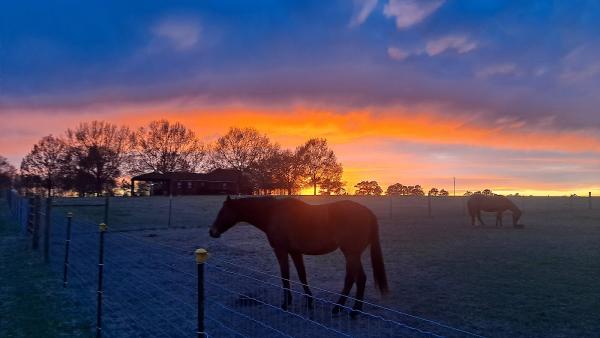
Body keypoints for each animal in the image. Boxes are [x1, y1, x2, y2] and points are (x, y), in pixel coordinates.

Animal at [210, 195, 390, 316]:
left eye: (223, 212)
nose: (212, 232)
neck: (272, 213)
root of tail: (368, 213)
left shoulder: (281, 250)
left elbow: (285, 276)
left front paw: (285, 303)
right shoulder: (295, 252)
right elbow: (302, 275)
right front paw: (309, 301)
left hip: (351, 253)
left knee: (357, 279)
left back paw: (347, 310)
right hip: (352, 254)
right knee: (354, 278)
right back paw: (344, 308)